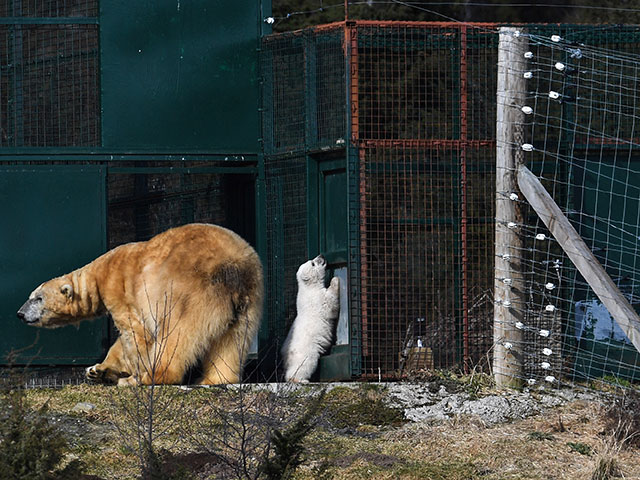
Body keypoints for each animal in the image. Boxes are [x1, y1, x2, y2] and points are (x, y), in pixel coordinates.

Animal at [16, 224, 262, 386]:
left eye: (37, 298)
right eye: (31, 296)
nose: (20, 313)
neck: (99, 273)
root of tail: (232, 267)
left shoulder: (120, 291)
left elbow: (135, 334)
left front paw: (131, 377)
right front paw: (97, 370)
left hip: (189, 292)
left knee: (176, 335)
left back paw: (152, 376)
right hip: (248, 299)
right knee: (231, 340)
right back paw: (215, 378)